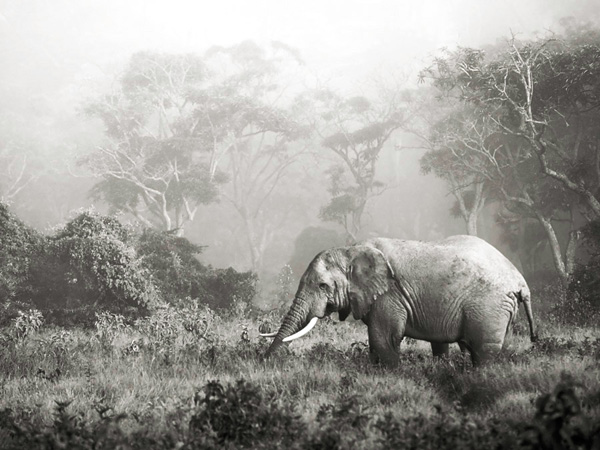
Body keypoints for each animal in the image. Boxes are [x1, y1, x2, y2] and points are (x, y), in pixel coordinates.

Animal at [260, 234, 536, 368]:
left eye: (322, 286)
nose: (264, 361)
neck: (350, 250)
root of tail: (520, 281)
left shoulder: (390, 295)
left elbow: (383, 338)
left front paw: (392, 375)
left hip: (489, 306)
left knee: (483, 351)